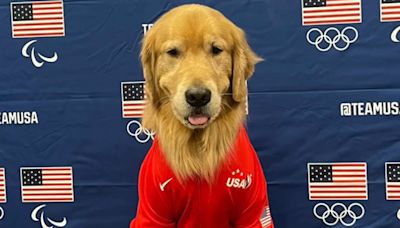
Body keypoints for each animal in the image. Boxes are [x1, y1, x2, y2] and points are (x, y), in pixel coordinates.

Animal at [130, 4, 274, 228]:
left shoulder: (252, 213)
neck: (198, 149)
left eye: (216, 49)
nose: (198, 96)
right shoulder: (154, 214)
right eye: (173, 52)